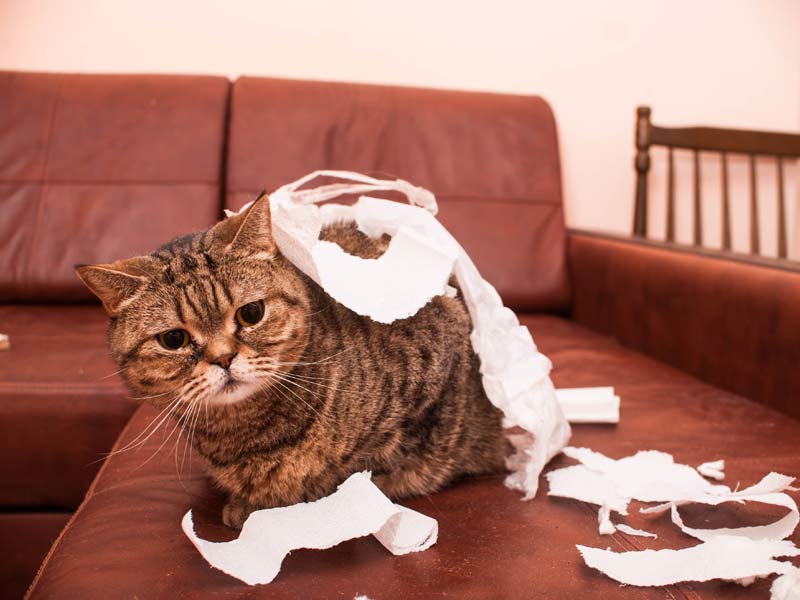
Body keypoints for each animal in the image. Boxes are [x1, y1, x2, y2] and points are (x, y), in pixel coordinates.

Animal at [77, 193, 505, 529]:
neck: (247, 434)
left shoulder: (435, 372)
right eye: (173, 339)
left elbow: (366, 466)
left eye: (251, 313)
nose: (223, 358)